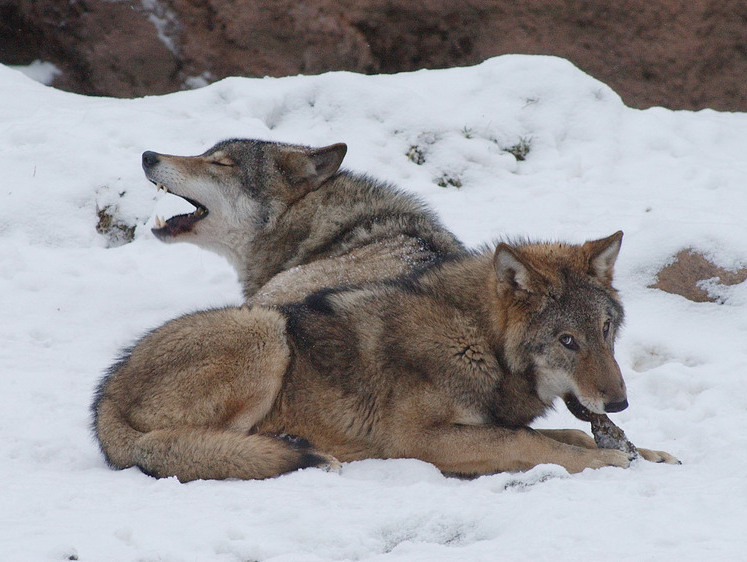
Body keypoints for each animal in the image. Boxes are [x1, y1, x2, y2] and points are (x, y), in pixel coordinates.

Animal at [92, 230, 676, 480]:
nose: (619, 404)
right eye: (567, 341)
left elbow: (567, 435)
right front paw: (611, 459)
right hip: (265, 331)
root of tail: (105, 398)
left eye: (605, 330)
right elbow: (539, 445)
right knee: (193, 447)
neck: (476, 339)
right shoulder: (421, 440)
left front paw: (648, 453)